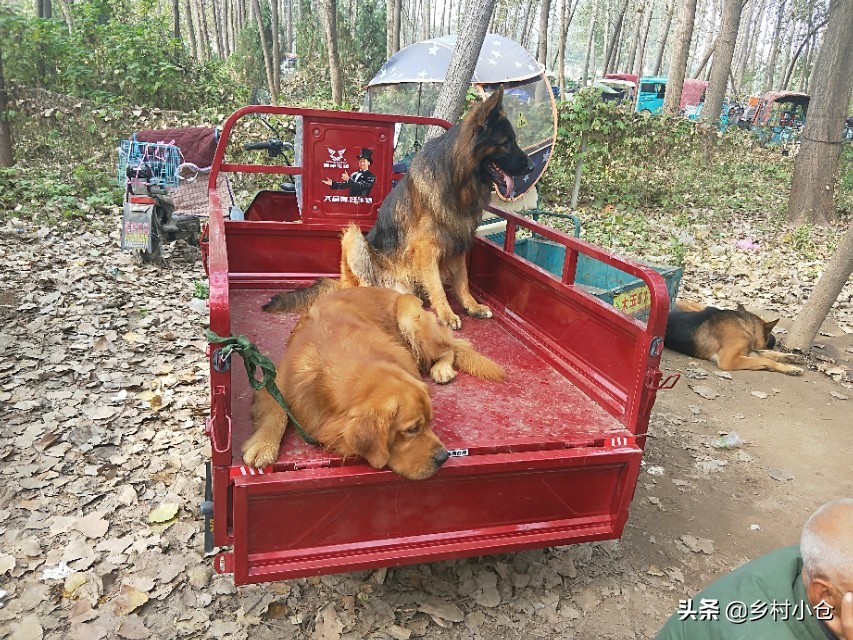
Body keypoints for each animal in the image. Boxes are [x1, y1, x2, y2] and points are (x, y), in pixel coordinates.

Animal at [243, 288, 502, 478]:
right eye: (411, 430)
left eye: (430, 422)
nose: (444, 457)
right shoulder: (274, 378)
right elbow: (277, 411)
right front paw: (263, 445)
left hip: (411, 317)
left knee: (449, 349)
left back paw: (442, 369)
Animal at [264, 87, 532, 330]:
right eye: (507, 142)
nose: (531, 167)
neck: (457, 183)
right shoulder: (427, 249)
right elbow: (437, 285)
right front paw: (446, 313)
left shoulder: (458, 241)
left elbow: (462, 280)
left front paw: (471, 305)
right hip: (354, 237)